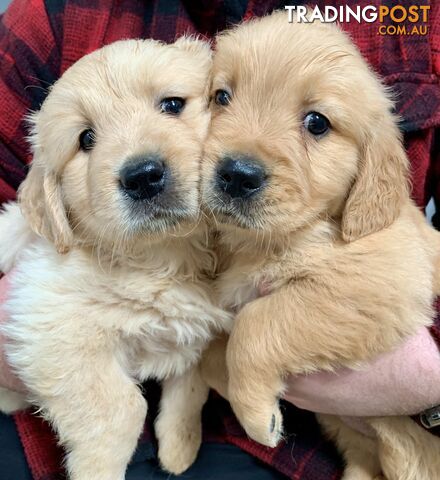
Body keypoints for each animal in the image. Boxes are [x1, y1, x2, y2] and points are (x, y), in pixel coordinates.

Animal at [0, 38, 232, 480]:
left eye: (172, 104)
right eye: (86, 138)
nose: (143, 176)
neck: (165, 256)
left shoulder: (199, 331)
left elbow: (189, 388)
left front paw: (179, 446)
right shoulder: (48, 319)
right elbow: (120, 408)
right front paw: (98, 468)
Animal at [202, 11, 440, 480]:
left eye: (317, 123)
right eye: (221, 96)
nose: (236, 174)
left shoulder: (376, 285)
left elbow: (254, 324)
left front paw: (255, 414)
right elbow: (208, 353)